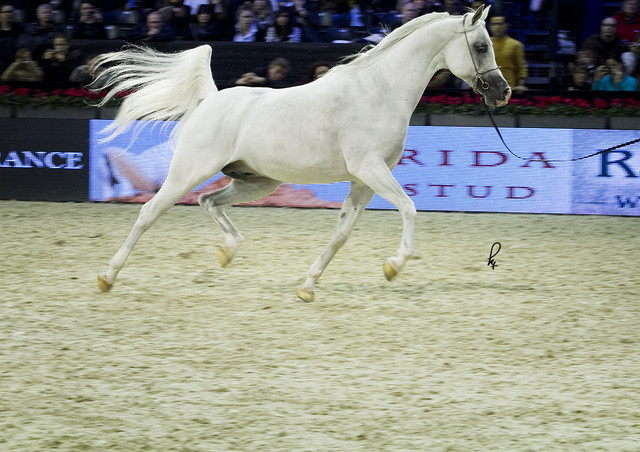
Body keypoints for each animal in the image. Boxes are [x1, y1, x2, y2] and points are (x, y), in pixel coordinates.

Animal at [92, 5, 510, 302]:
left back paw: (227, 252)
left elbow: (341, 234)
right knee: (149, 212)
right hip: (189, 171)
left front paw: (308, 286)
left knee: (209, 201)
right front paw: (394, 266)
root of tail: (210, 99)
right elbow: (408, 208)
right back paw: (107, 277)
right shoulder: (370, 169)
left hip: (255, 182)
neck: (378, 91)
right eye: (480, 46)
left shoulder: (364, 181)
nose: (503, 91)